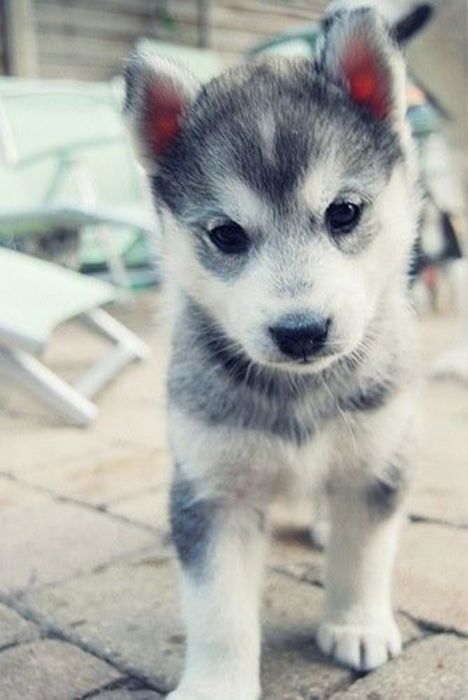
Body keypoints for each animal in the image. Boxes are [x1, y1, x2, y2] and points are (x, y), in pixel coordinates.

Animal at [124, 6, 420, 700]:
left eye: (344, 211)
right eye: (226, 234)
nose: (302, 331)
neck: (299, 390)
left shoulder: (376, 463)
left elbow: (363, 554)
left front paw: (356, 623)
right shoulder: (213, 493)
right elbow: (218, 611)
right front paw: (215, 685)